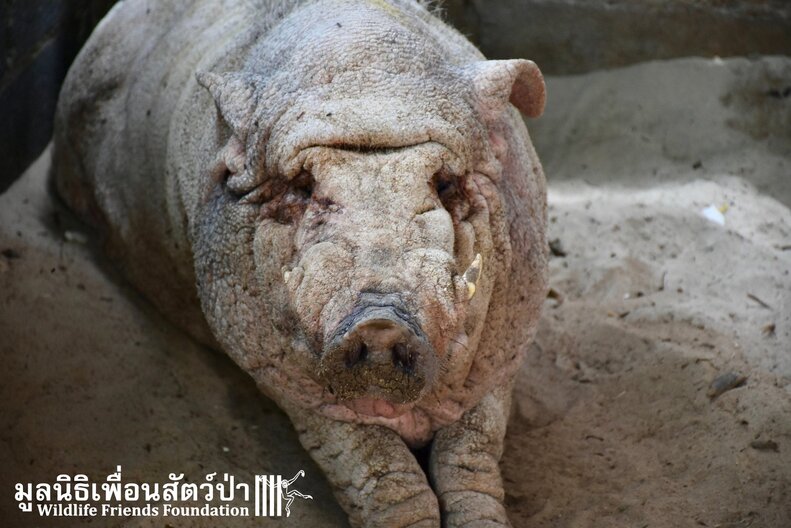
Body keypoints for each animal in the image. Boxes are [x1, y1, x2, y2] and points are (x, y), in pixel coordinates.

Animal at [52, 0, 548, 526]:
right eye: (304, 188)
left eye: (446, 184)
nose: (380, 321)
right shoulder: (275, 371)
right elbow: (379, 471)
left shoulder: (506, 349)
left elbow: (471, 456)